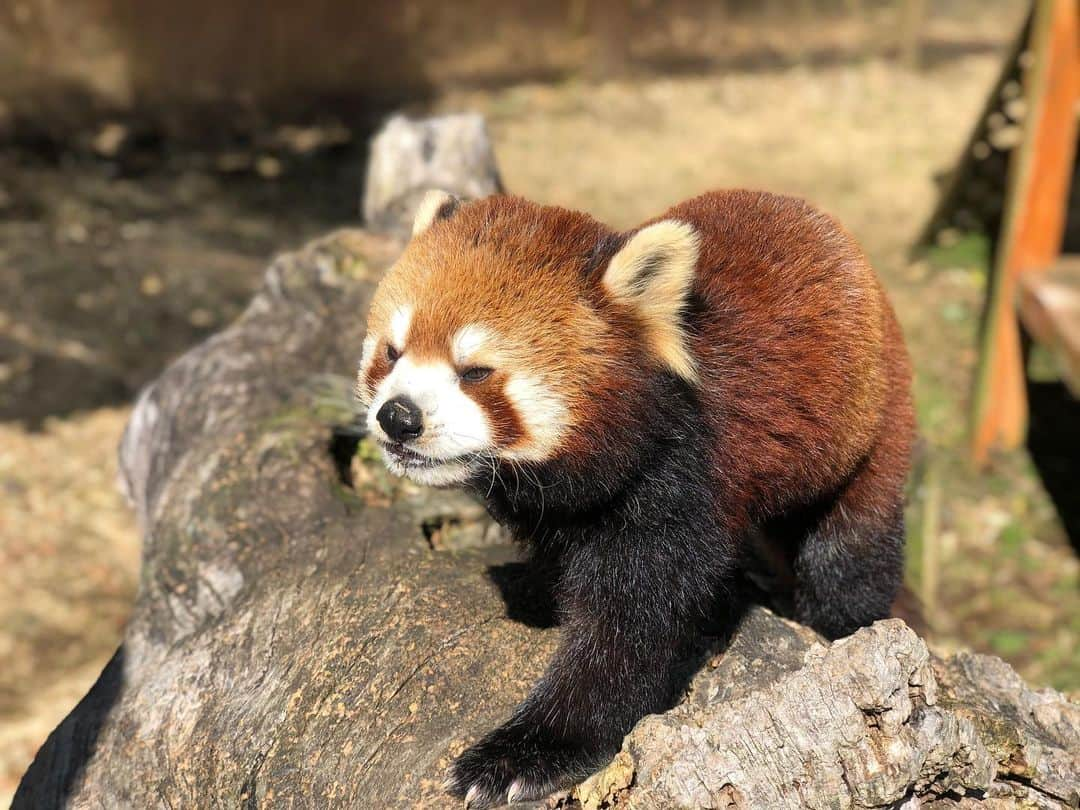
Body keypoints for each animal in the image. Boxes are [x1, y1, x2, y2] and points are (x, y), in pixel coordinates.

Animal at [354, 189, 911, 807]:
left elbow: (627, 633)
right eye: (392, 353)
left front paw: (526, 755)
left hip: (871, 426)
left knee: (849, 553)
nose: (398, 417)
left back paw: (837, 618)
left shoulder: (678, 480)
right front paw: (539, 585)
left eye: (474, 372)